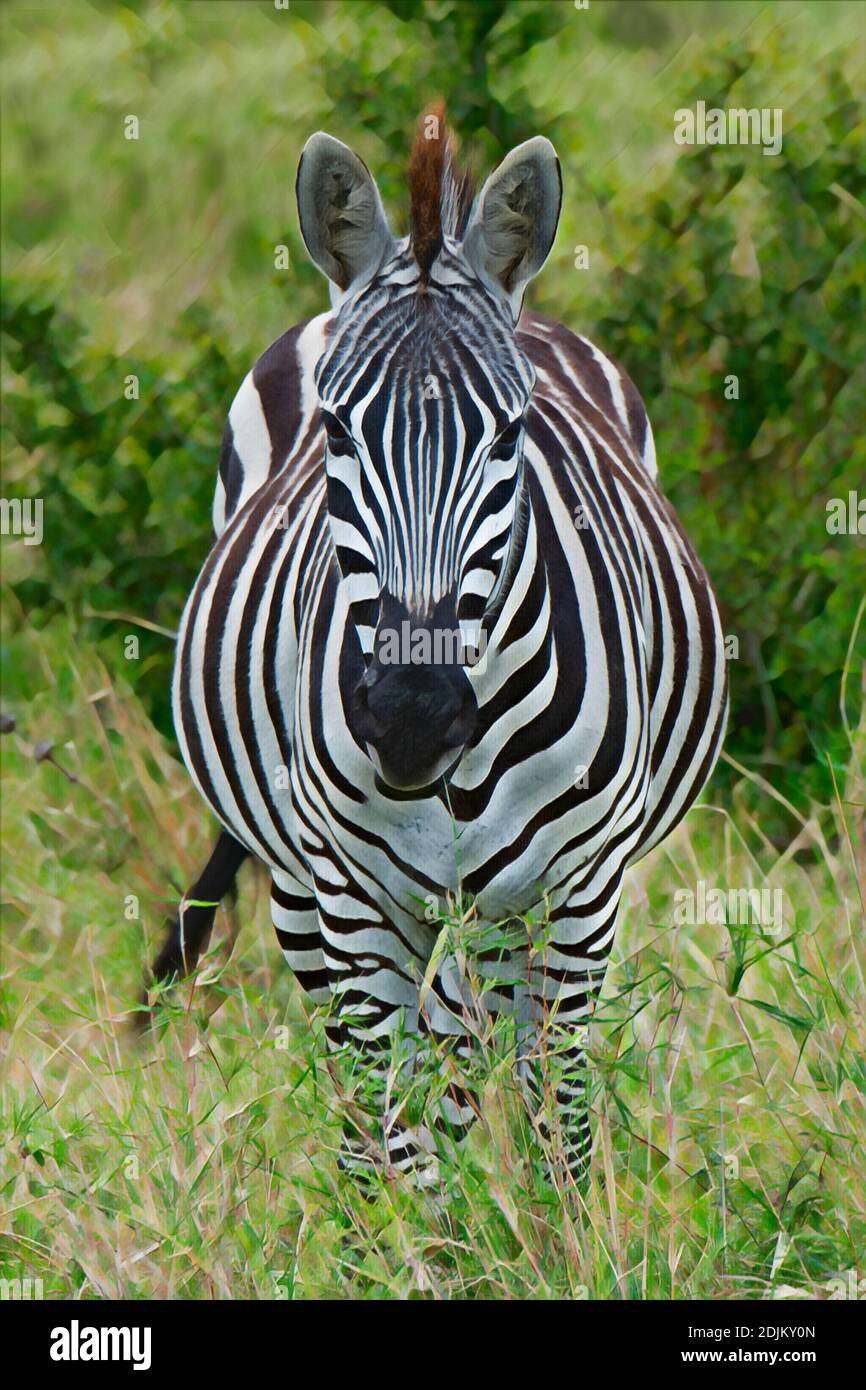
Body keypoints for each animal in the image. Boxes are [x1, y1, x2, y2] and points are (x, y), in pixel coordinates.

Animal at [153, 110, 728, 1184]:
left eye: (510, 437)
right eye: (336, 433)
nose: (411, 718)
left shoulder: (579, 891)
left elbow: (554, 1111)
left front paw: (560, 1228)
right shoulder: (353, 896)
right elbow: (395, 1119)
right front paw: (406, 1228)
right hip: (300, 887)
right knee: (361, 1081)